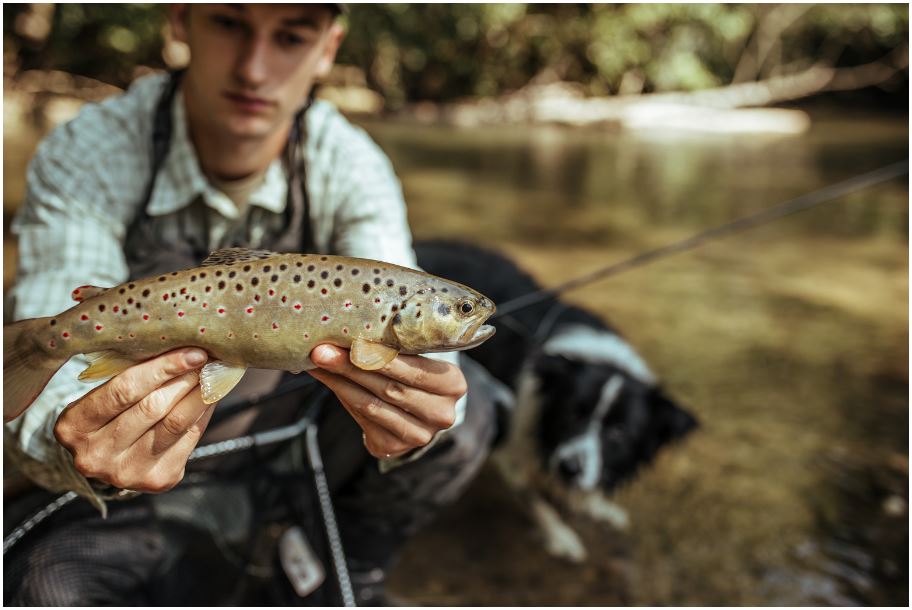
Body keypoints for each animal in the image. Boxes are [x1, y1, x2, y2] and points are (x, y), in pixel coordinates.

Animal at [416, 239, 700, 560]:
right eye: (571, 414)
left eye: (619, 432)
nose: (570, 468)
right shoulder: (516, 441)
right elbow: (533, 496)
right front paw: (561, 537)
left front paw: (601, 508)